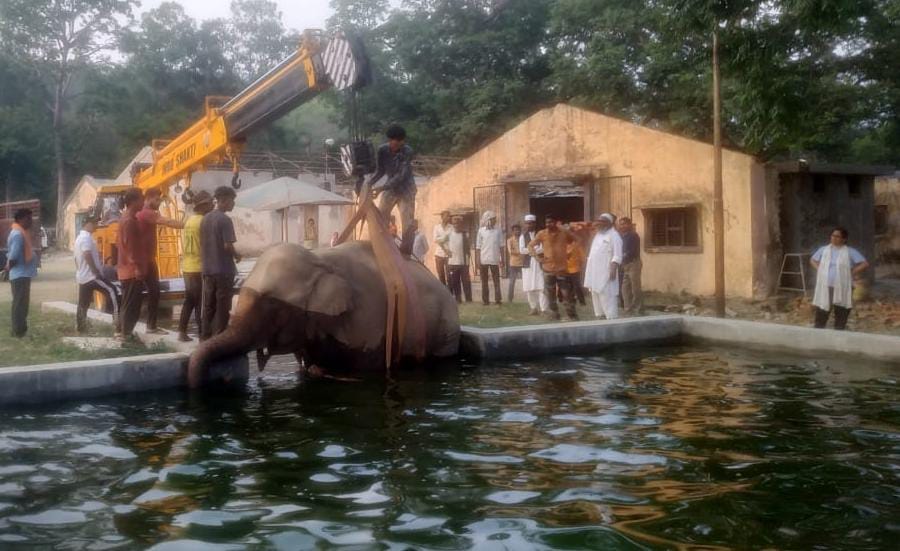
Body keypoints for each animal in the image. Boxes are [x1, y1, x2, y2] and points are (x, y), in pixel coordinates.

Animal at [188, 241, 460, 386]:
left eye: (272, 306)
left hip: (444, 328)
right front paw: (313, 370)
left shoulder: (368, 317)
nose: (218, 381)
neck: (320, 260)